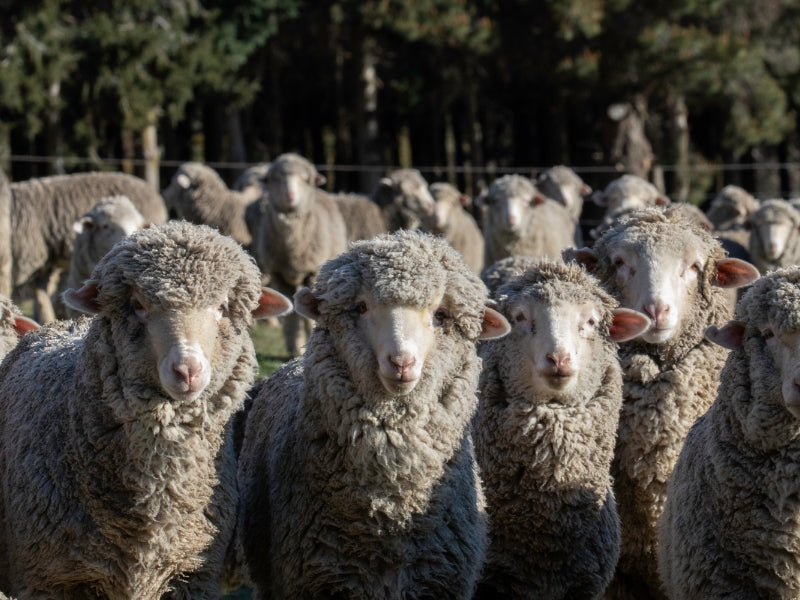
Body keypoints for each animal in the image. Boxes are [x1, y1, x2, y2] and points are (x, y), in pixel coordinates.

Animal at [0, 221, 293, 599]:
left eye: (222, 307)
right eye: (138, 305)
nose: (187, 370)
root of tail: (68, 323)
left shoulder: (192, 575)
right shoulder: (49, 579)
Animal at [253, 152, 349, 356]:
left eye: (306, 180)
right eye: (274, 179)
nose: (290, 196)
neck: (292, 248)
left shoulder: (312, 271)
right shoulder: (279, 274)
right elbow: (290, 317)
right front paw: (293, 347)